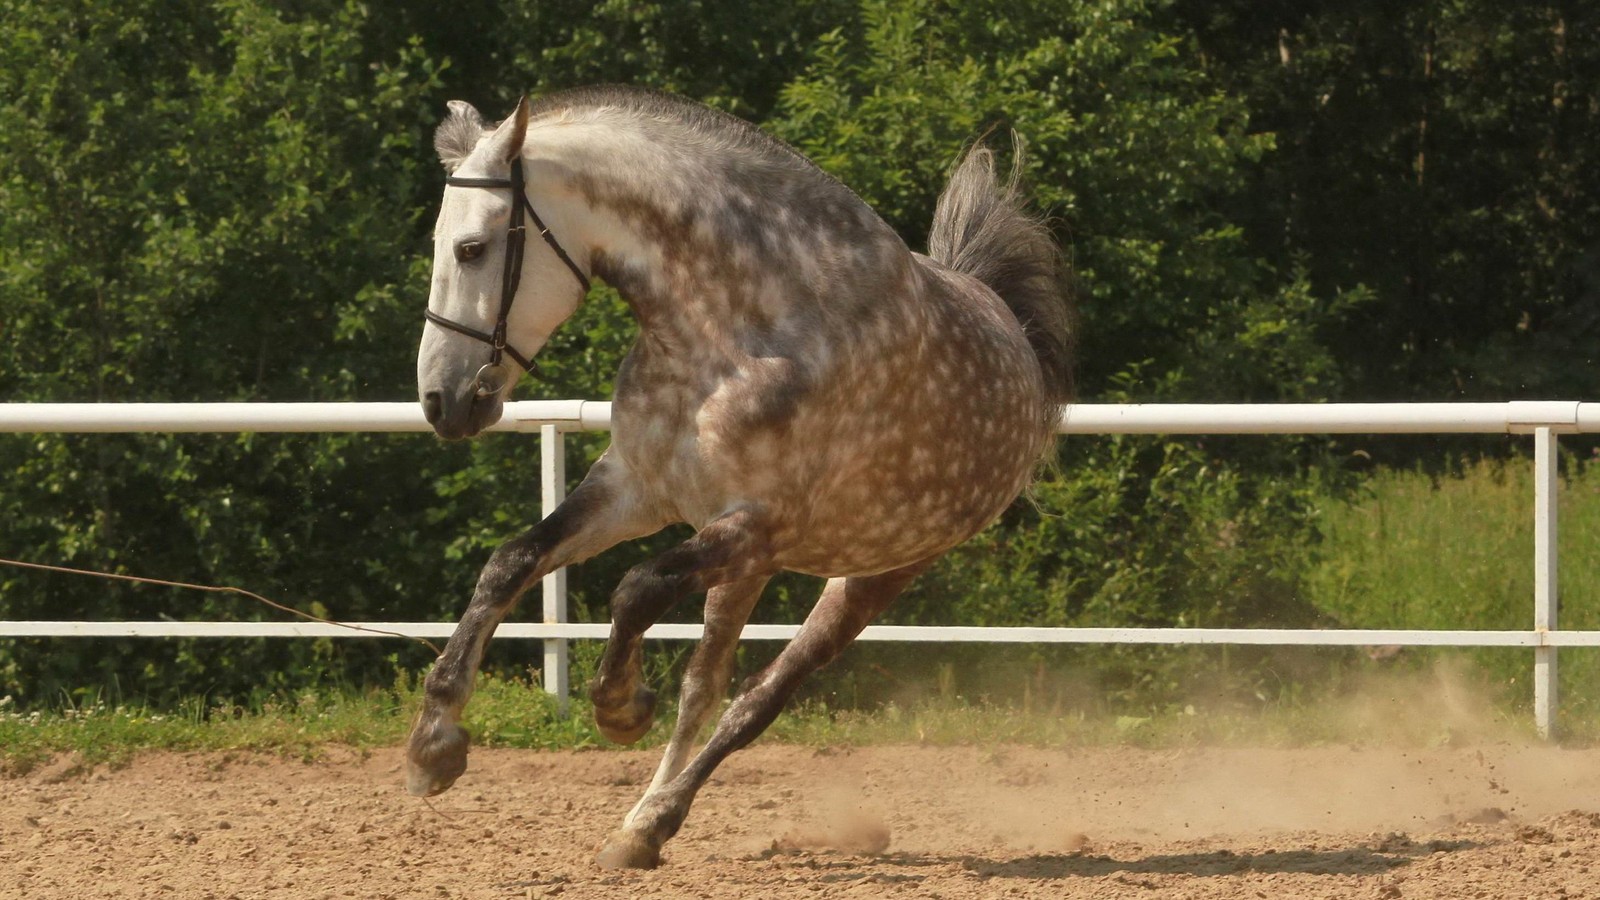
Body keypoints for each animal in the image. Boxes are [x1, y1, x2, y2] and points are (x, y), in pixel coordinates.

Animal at [406, 87, 1075, 864]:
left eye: (472, 249)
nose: (442, 402)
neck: (733, 331)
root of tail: (1008, 326)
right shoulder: (636, 488)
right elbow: (511, 562)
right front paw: (434, 745)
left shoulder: (758, 523)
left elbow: (637, 588)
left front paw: (621, 707)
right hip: (747, 569)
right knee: (706, 686)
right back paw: (637, 826)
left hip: (868, 575)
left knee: (755, 699)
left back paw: (654, 819)